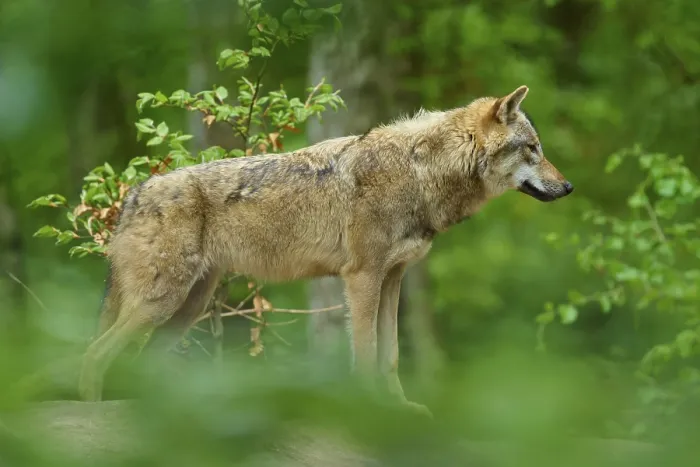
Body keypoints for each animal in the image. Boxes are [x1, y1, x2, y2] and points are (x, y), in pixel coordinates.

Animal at [78, 85, 573, 415]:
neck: (419, 173)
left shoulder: (393, 279)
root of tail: (135, 193)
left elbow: (391, 355)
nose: (568, 187)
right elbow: (366, 354)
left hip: (184, 309)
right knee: (95, 355)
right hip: (161, 303)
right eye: (532, 149)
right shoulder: (362, 278)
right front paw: (371, 409)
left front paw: (401, 408)